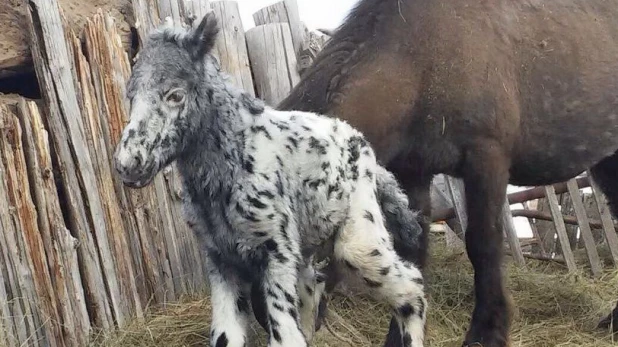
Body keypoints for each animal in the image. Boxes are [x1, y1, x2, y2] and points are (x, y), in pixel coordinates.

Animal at [276, 0, 616, 346]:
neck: (423, 57)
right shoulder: (412, 172)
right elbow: (413, 254)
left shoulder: (487, 159)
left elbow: (484, 244)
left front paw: (487, 333)